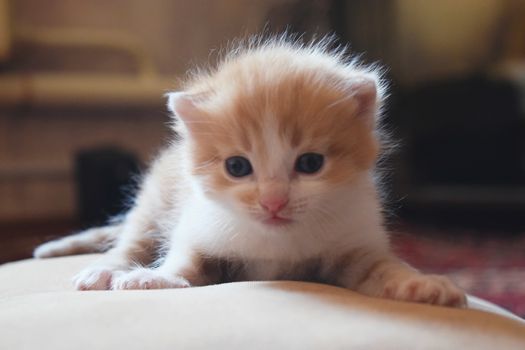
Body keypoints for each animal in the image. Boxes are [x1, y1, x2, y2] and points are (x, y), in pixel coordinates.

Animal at [34, 35, 464, 306]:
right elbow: (186, 260)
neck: (276, 243)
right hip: (154, 202)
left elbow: (383, 267)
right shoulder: (198, 224)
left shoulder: (355, 244)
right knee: (130, 241)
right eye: (237, 166)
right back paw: (105, 270)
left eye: (311, 164)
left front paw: (419, 283)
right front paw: (154, 277)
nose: (273, 201)